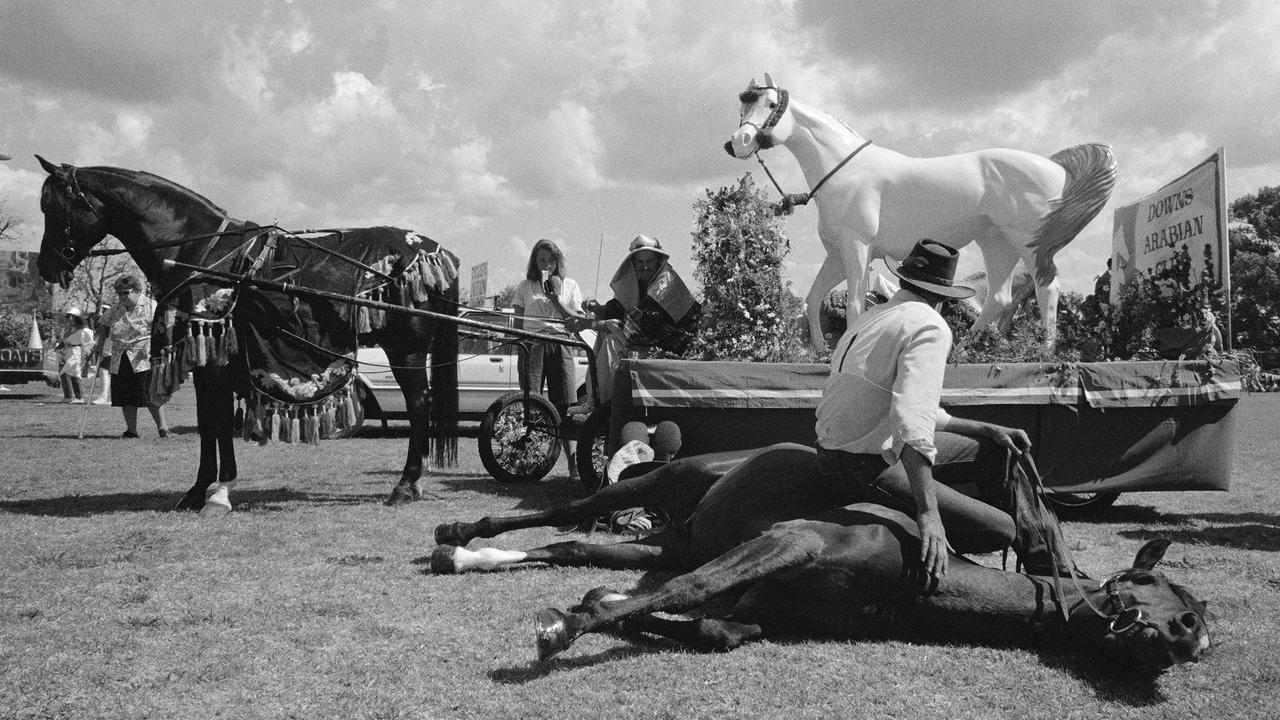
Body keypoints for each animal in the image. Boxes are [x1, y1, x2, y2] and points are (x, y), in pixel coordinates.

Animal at [36, 155, 460, 507]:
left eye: (52, 207)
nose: (45, 266)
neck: (200, 251)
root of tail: (436, 251)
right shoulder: (210, 357)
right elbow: (212, 420)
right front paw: (205, 488)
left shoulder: (214, 354)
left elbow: (218, 421)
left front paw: (215, 491)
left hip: (406, 349)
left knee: (419, 405)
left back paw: (405, 484)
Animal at [432, 440, 1208, 671]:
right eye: (1164, 588)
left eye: (1195, 619)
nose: (1187, 639)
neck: (912, 578)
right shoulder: (789, 541)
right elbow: (685, 594)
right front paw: (563, 628)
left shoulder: (756, 609)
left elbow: (707, 624)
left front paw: (599, 608)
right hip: (656, 483)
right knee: (567, 512)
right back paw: (458, 533)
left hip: (662, 541)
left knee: (571, 543)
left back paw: (471, 558)